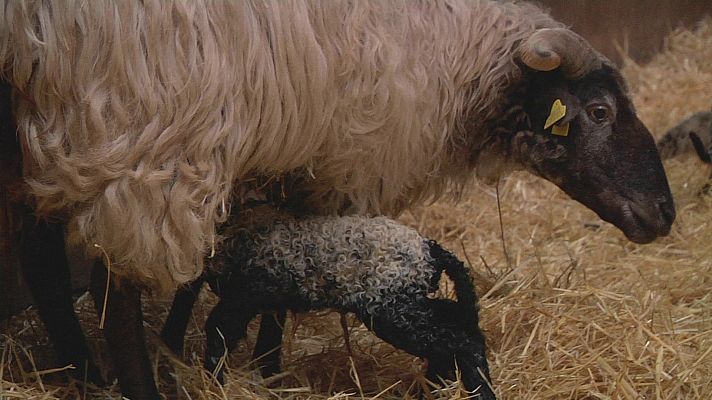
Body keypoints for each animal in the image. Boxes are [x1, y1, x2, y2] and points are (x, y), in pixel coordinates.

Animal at [161, 206, 495, 399]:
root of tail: (429, 248)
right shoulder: (259, 295)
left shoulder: (248, 293)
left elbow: (219, 329)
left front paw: (213, 381)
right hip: (410, 301)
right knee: (458, 323)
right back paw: (437, 385)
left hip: (393, 306)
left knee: (460, 341)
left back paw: (475, 391)